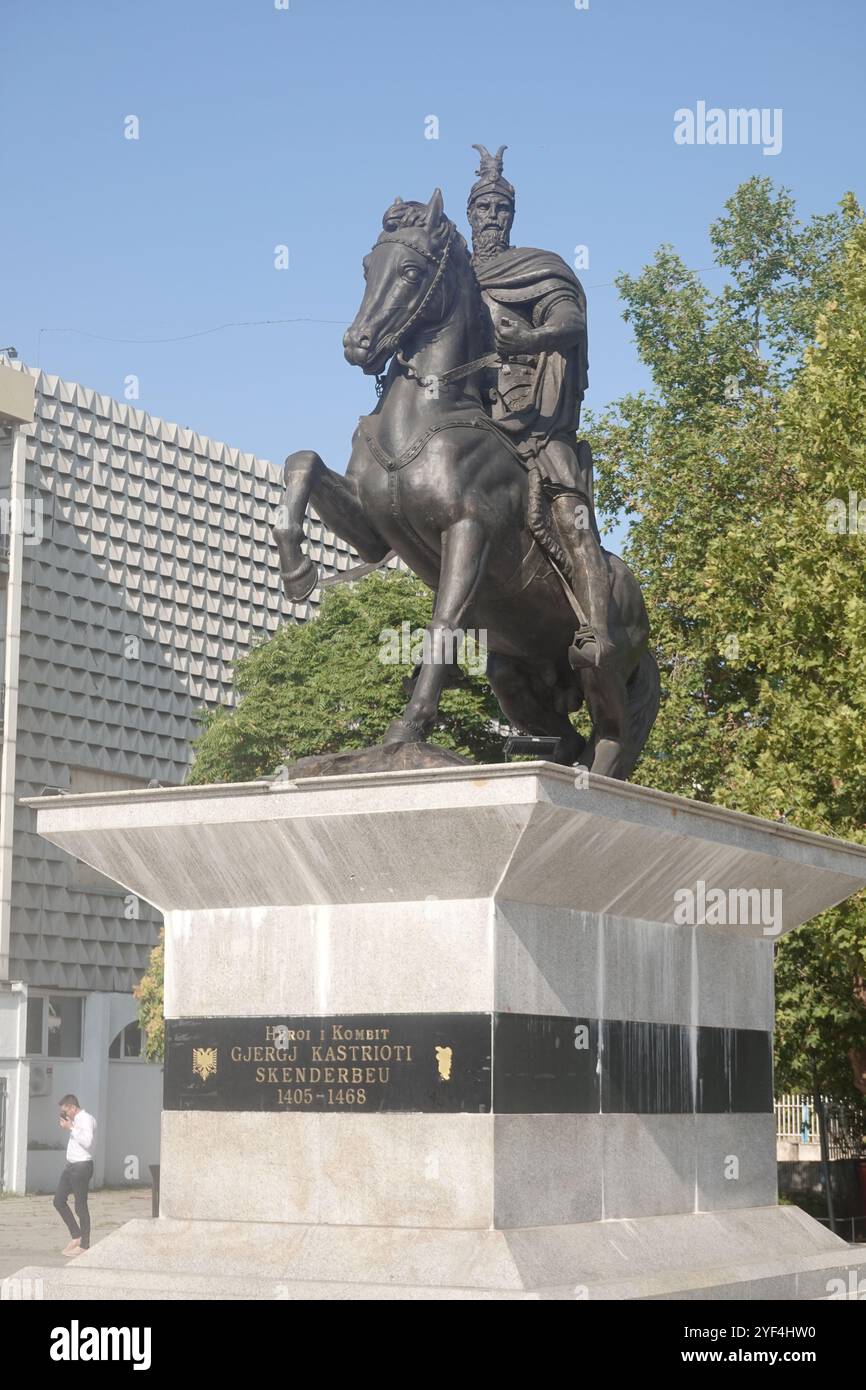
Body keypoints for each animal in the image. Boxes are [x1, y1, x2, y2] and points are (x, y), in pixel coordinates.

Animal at [273, 189, 661, 778]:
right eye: (367, 267)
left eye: (411, 271)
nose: (358, 344)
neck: (425, 416)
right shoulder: (373, 533)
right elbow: (303, 461)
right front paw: (296, 571)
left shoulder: (469, 531)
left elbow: (441, 626)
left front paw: (406, 732)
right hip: (516, 674)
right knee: (568, 738)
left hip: (599, 665)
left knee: (609, 739)